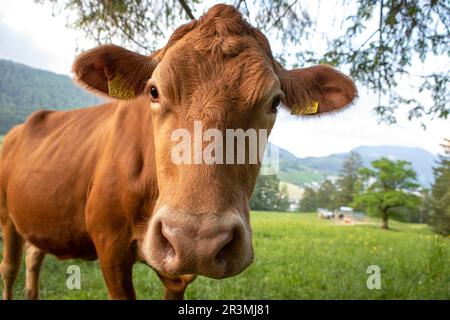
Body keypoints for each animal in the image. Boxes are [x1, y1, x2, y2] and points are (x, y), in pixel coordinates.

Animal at [0, 3, 358, 300]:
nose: (196, 240)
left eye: (274, 102)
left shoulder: (177, 275)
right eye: (153, 91)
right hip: (7, 215)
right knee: (10, 268)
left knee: (34, 257)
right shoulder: (109, 246)